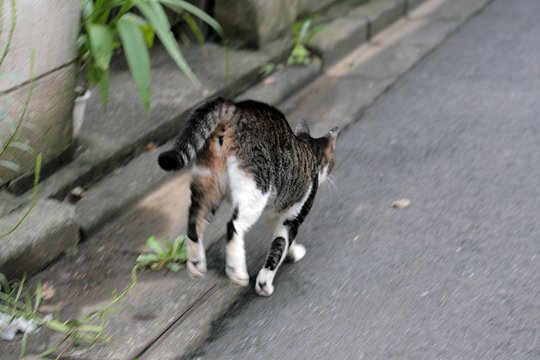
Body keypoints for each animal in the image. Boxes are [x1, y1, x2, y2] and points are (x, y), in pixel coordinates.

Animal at [158, 97, 340, 296]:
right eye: (331, 162)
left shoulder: (276, 214)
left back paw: (196, 264)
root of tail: (236, 109)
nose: (330, 172)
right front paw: (264, 282)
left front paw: (291, 253)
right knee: (232, 226)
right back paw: (237, 272)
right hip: (255, 192)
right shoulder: (294, 216)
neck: (309, 149)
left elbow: (281, 242)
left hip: (208, 185)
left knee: (194, 221)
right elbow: (279, 245)